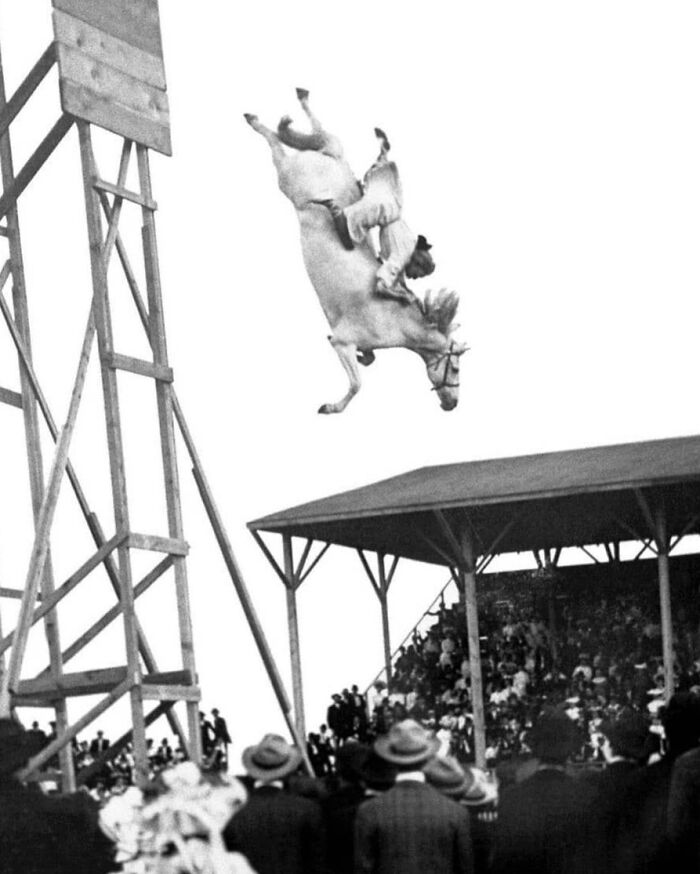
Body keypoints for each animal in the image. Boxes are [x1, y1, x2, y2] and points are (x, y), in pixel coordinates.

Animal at [243, 88, 468, 412]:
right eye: (457, 368)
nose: (452, 403)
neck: (398, 321)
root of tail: (333, 162)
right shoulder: (344, 342)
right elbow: (357, 384)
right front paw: (331, 407)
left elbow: (368, 361)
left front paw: (364, 358)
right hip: (287, 178)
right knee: (276, 145)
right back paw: (260, 121)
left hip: (321, 156)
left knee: (315, 136)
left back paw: (285, 109)